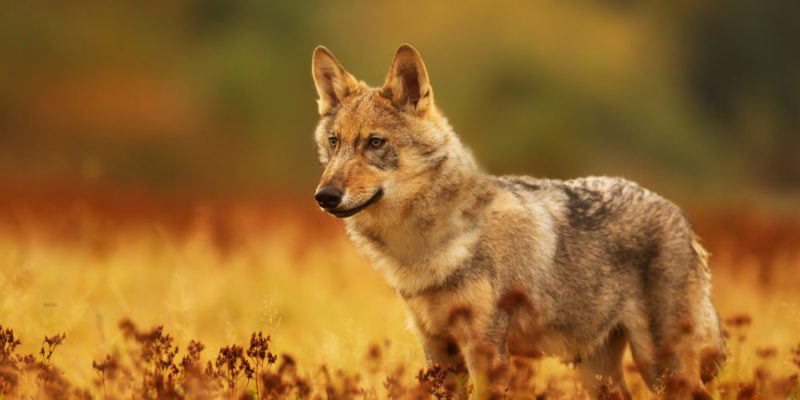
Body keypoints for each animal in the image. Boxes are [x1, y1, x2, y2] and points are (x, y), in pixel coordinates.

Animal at [310, 43, 728, 396]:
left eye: (374, 143)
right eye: (334, 142)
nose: (324, 196)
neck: (422, 248)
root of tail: (681, 214)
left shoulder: (485, 350)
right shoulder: (437, 350)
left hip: (660, 368)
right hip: (599, 372)